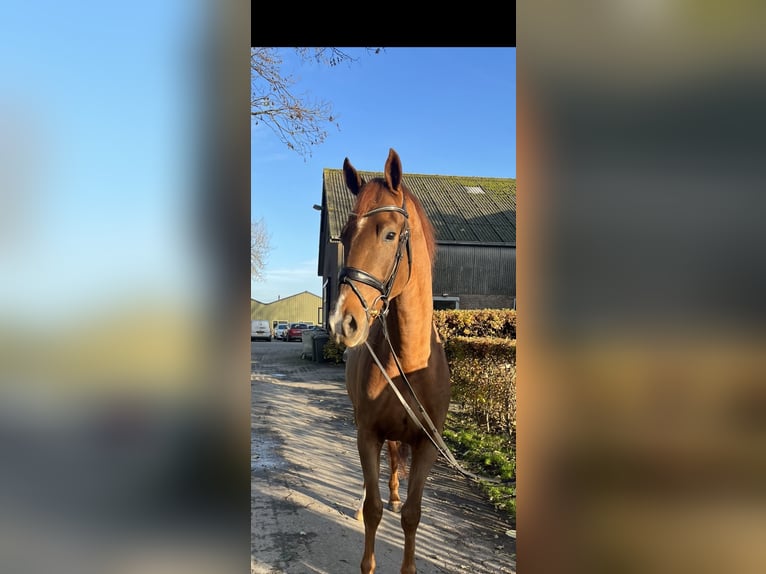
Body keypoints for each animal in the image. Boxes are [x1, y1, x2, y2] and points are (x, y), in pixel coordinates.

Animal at [328, 150, 450, 574]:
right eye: (346, 235)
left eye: (390, 235)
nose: (343, 322)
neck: (409, 360)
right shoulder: (367, 433)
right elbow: (373, 509)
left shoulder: (427, 445)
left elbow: (412, 514)